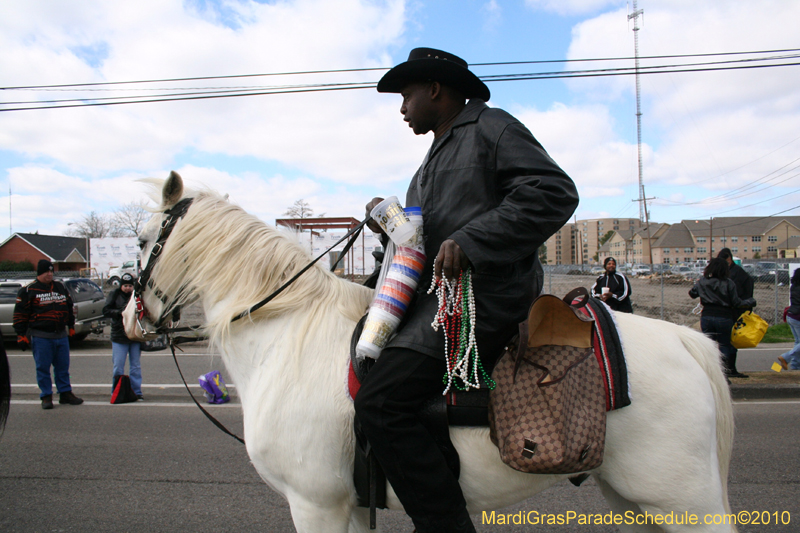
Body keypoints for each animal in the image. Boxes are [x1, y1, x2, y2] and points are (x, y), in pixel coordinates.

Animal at [123, 172, 736, 528]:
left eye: (142, 239)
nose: (126, 318)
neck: (291, 338)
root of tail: (687, 340)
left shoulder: (315, 504)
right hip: (636, 498)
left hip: (683, 501)